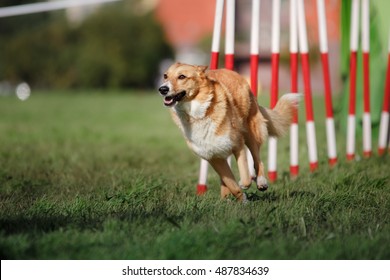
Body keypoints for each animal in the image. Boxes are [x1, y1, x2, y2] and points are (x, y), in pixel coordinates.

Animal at [158, 61, 298, 201]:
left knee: (257, 160)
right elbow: (230, 183)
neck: (196, 114)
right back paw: (225, 197)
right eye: (165, 76)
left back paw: (261, 182)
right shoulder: (213, 157)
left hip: (251, 133)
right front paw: (240, 199)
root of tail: (233, 72)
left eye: (182, 76)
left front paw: (243, 187)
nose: (162, 89)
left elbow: (245, 177)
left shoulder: (238, 145)